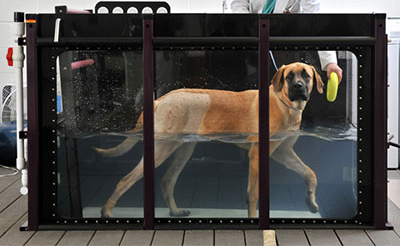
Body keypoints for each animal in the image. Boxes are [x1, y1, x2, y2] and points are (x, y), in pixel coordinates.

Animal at [95, 61, 324, 217]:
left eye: (306, 76)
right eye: (289, 77)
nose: (299, 86)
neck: (284, 104)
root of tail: (159, 101)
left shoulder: (284, 152)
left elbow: (310, 173)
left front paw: (311, 200)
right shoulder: (257, 155)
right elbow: (253, 194)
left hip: (184, 150)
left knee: (167, 181)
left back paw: (175, 211)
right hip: (161, 149)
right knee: (126, 179)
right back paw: (107, 210)